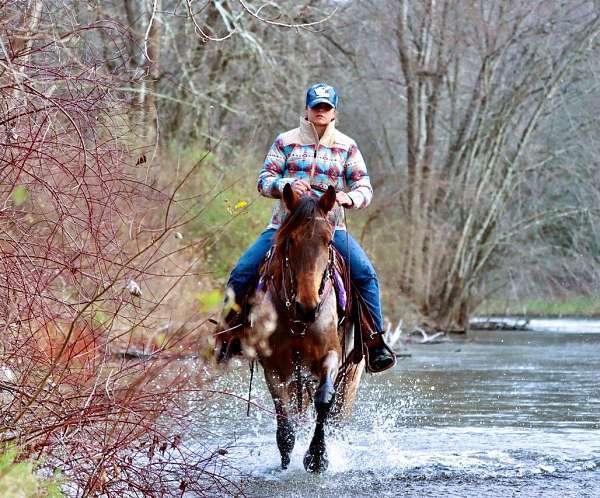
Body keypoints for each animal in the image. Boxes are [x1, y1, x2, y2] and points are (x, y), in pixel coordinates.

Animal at [248, 183, 366, 470]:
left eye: (329, 241)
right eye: (290, 240)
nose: (308, 306)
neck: (298, 320)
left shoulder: (331, 357)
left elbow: (324, 400)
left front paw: (317, 457)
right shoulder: (274, 367)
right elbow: (284, 420)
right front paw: (286, 459)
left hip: (350, 375)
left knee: (335, 415)